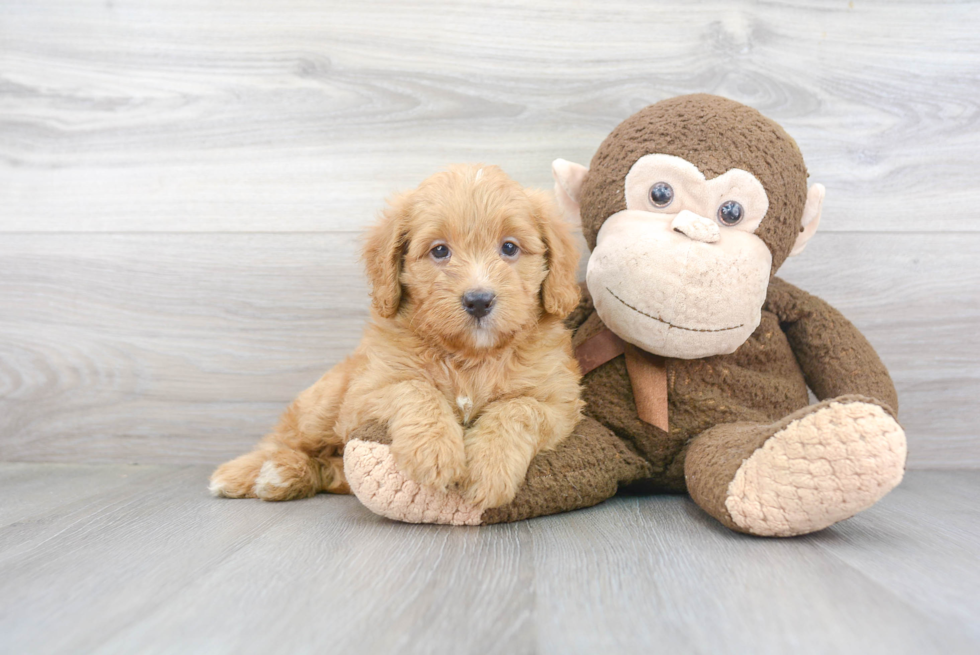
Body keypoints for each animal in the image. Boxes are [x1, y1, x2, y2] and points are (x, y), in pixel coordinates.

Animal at [209, 165, 580, 512]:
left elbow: (519, 408)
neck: (470, 356)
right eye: (440, 251)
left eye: (509, 247)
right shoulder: (364, 395)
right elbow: (414, 387)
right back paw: (246, 472)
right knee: (284, 439)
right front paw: (434, 450)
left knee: (330, 468)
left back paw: (286, 474)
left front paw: (489, 466)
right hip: (322, 406)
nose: (478, 300)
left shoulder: (561, 405)